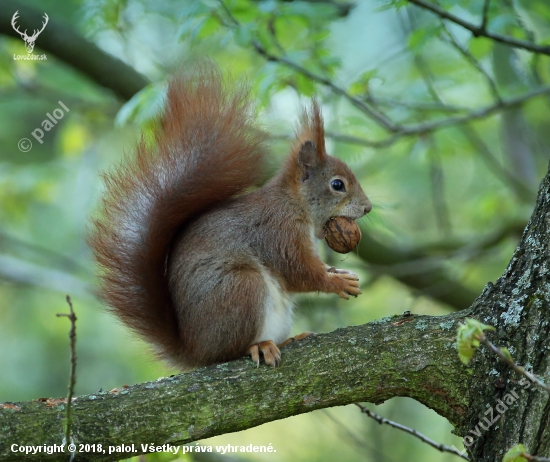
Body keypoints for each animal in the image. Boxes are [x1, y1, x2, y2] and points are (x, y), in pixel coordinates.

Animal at [89, 64, 370, 368]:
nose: (368, 208)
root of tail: (194, 350)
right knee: (229, 351)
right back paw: (259, 346)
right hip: (242, 288)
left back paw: (288, 339)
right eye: (337, 184)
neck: (295, 205)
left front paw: (338, 272)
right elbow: (298, 271)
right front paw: (336, 281)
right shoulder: (277, 231)